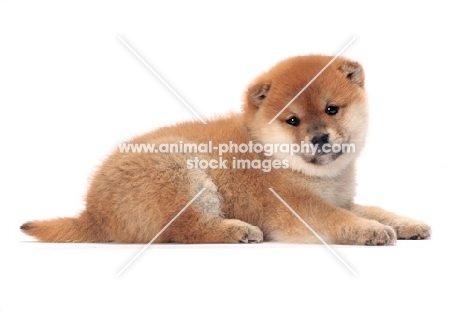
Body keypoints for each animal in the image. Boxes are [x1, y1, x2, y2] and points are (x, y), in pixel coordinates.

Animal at [21, 54, 432, 245]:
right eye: (293, 120)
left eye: (332, 109)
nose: (319, 138)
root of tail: (93, 214)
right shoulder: (297, 207)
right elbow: (338, 219)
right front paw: (371, 231)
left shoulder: (342, 198)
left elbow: (373, 209)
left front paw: (407, 223)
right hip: (181, 175)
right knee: (185, 230)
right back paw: (238, 231)